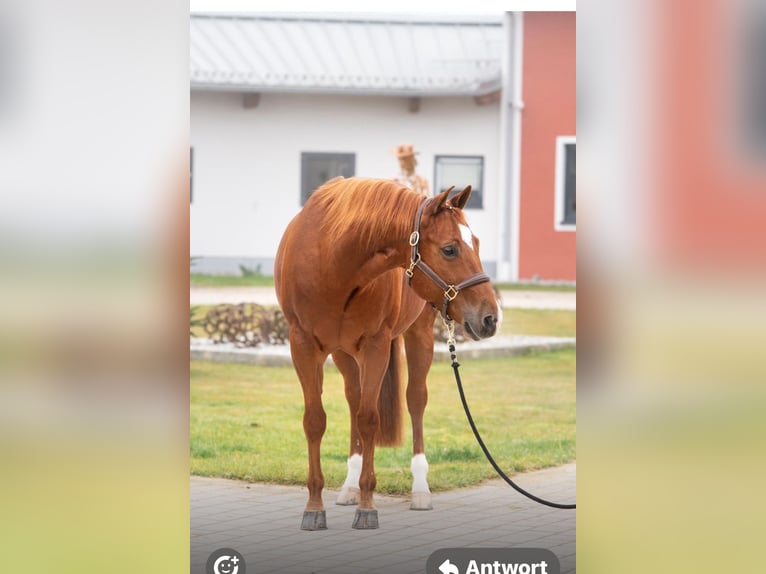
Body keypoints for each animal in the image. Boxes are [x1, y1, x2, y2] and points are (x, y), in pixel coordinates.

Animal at [274, 176, 498, 530]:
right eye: (450, 249)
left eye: (475, 242)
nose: (490, 318)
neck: (333, 264)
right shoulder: (303, 346)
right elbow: (315, 420)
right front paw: (314, 507)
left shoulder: (375, 345)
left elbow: (369, 420)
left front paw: (367, 507)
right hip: (344, 354)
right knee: (354, 398)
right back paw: (349, 486)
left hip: (418, 333)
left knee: (415, 399)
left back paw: (420, 489)